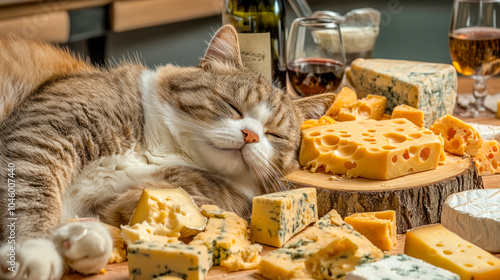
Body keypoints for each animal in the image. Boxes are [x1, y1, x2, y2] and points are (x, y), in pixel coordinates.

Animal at [0, 25, 336, 278]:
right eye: (232, 106)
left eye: (274, 135)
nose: (251, 135)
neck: (160, 151)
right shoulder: (43, 136)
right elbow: (32, 195)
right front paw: (36, 250)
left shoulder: (130, 199)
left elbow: (103, 218)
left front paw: (80, 240)